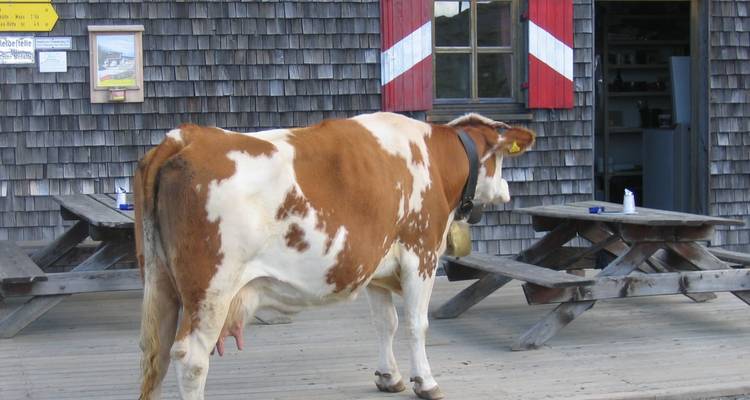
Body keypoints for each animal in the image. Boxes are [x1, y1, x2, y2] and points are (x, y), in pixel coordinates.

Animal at [135, 112, 535, 400]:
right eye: (502, 160)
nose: (507, 190)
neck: (433, 158)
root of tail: (186, 137)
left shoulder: (376, 264)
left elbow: (385, 323)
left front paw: (389, 376)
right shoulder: (420, 253)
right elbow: (415, 324)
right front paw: (425, 382)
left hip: (161, 282)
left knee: (155, 355)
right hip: (211, 289)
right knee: (190, 357)